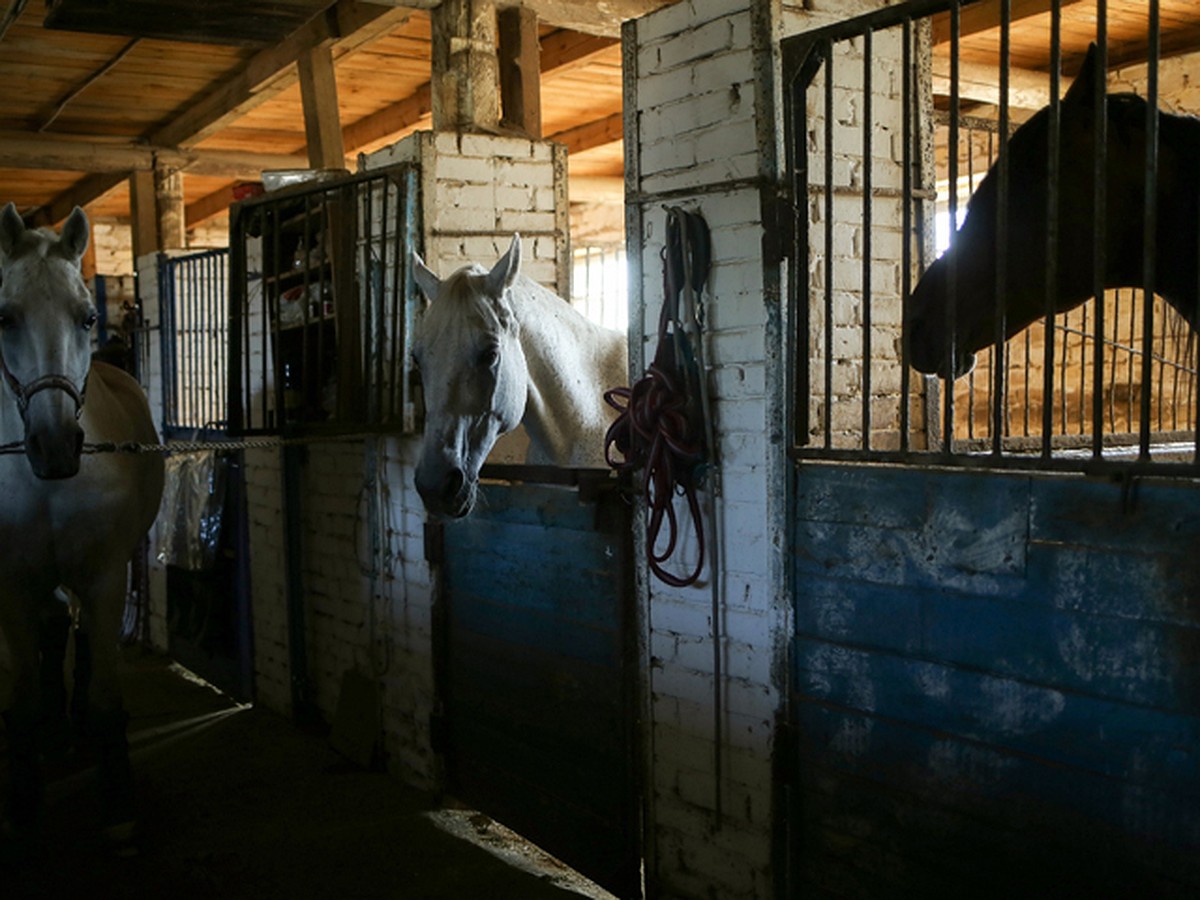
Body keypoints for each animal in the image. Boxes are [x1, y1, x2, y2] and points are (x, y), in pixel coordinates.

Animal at [0, 204, 164, 844]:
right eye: (4, 317)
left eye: (87, 316)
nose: (54, 447)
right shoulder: (15, 586)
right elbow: (21, 697)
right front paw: (22, 801)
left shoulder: (104, 575)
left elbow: (102, 689)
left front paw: (117, 802)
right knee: (53, 629)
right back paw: (53, 731)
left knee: (81, 636)